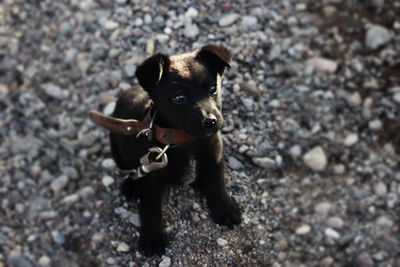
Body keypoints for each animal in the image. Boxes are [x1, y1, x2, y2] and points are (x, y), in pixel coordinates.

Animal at [109, 45, 241, 256]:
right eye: (179, 98)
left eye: (213, 89)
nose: (211, 121)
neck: (185, 141)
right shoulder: (151, 179)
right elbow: (151, 209)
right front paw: (152, 239)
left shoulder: (214, 158)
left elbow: (218, 184)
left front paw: (224, 209)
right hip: (117, 151)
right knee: (130, 171)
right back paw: (131, 186)